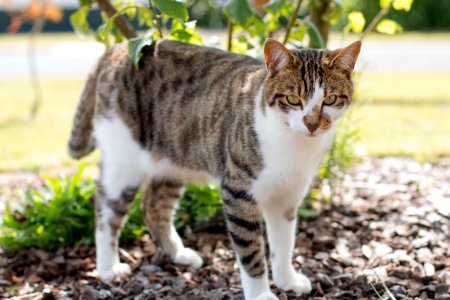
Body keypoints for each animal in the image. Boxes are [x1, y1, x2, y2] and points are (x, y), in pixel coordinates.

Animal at [67, 38, 362, 298]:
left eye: (330, 99)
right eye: (292, 99)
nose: (312, 124)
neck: (293, 144)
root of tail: (120, 47)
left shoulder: (287, 197)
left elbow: (284, 244)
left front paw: (286, 280)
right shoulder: (238, 192)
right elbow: (251, 252)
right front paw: (261, 294)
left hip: (173, 161)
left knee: (153, 207)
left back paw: (179, 254)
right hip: (124, 162)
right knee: (106, 210)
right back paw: (108, 268)